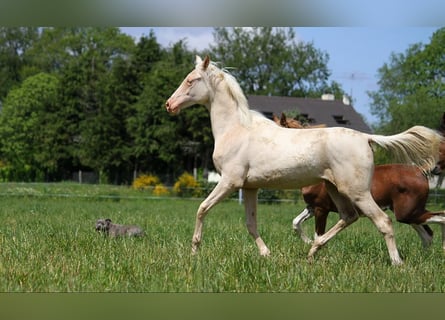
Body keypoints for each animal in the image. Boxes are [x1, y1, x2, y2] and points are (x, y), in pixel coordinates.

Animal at [166, 56, 440, 266]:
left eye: (191, 80)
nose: (169, 105)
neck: (237, 129)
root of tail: (366, 138)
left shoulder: (229, 182)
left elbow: (202, 208)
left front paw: (194, 251)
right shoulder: (250, 187)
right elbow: (251, 223)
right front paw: (266, 254)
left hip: (359, 192)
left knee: (384, 222)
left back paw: (396, 262)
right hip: (336, 189)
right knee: (348, 217)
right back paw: (312, 251)